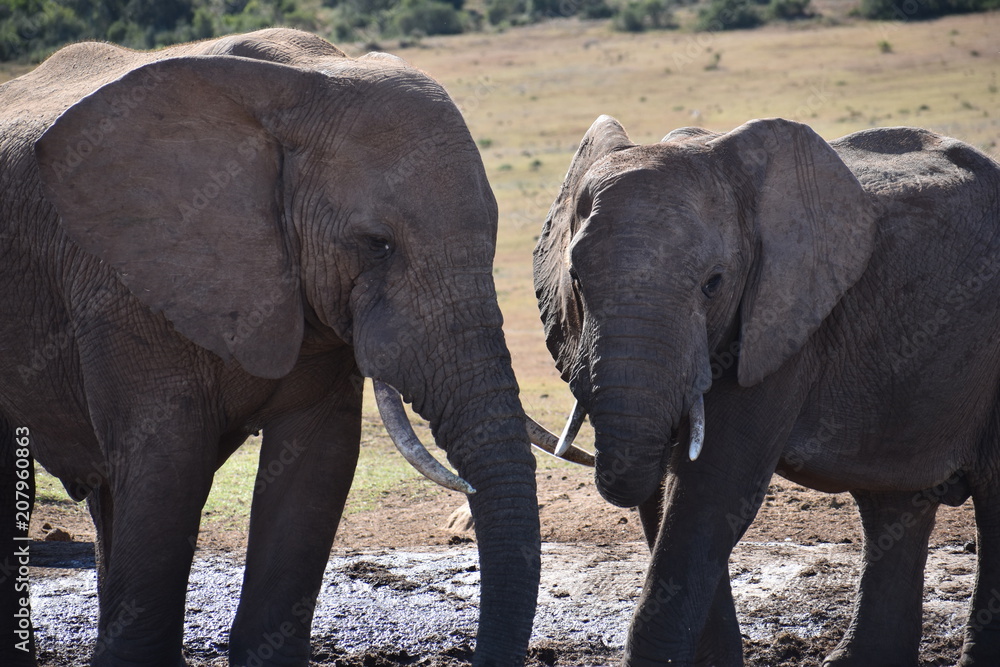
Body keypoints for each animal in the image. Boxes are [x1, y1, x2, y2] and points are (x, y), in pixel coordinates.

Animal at [534, 115, 1000, 665]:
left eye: (713, 283)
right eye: (576, 279)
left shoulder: (783, 323)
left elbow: (712, 489)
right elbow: (672, 494)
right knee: (893, 504)